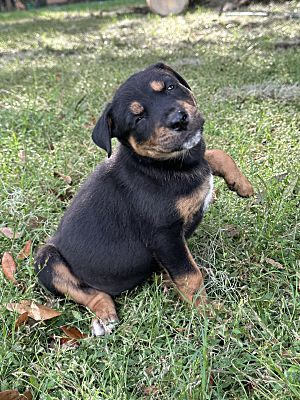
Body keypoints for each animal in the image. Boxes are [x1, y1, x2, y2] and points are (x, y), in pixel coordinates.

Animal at [35, 62, 253, 336]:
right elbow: (189, 275)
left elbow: (214, 154)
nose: (179, 120)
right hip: (46, 260)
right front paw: (208, 313)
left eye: (170, 87)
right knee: (88, 292)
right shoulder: (164, 235)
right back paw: (105, 315)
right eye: (138, 118)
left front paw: (242, 184)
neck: (158, 165)